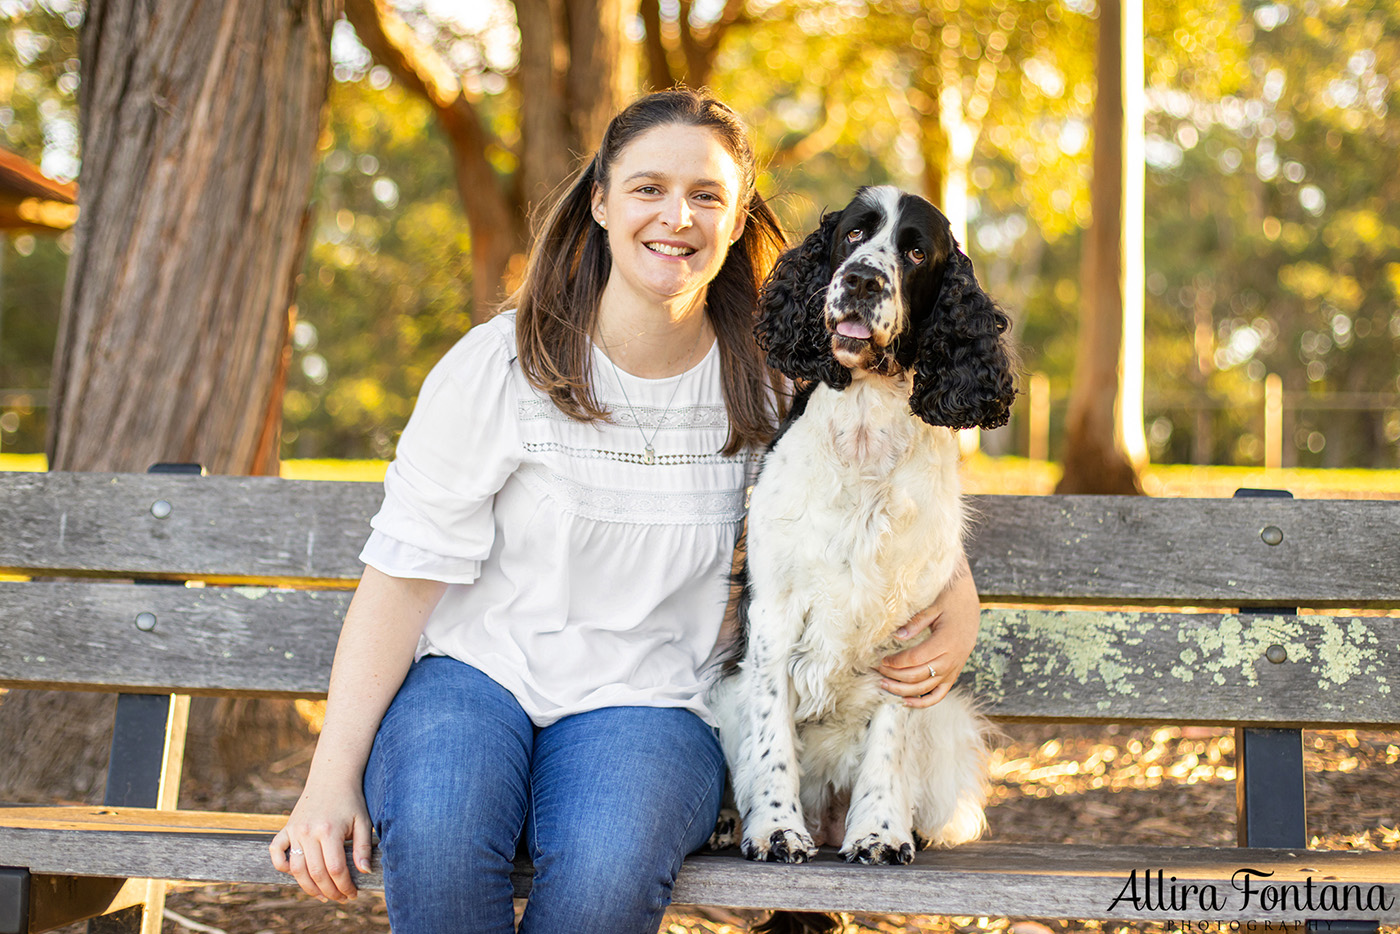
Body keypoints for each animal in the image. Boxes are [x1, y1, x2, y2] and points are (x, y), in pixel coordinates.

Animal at [711, 184, 1019, 884]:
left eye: (915, 252)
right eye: (853, 234)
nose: (860, 280)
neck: (863, 432)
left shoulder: (909, 634)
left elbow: (888, 742)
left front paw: (879, 833)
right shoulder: (773, 614)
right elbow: (771, 736)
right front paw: (775, 829)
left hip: (946, 719)